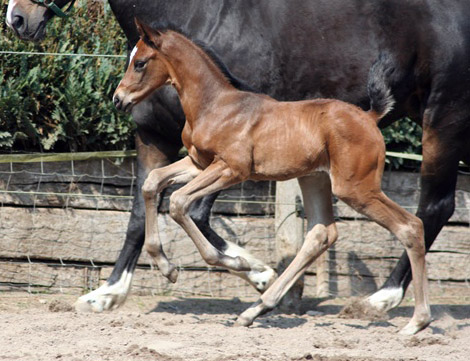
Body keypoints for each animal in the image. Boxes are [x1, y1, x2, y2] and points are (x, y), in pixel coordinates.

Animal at [113, 19, 430, 334]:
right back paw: (254, 310)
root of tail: (369, 117)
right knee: (321, 233)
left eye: (139, 63)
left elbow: (179, 202)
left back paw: (417, 322)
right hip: (315, 179)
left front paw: (238, 264)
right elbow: (152, 182)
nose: (118, 100)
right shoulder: (198, 164)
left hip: (356, 188)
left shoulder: (231, 169)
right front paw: (167, 268)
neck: (214, 106)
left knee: (410, 226)